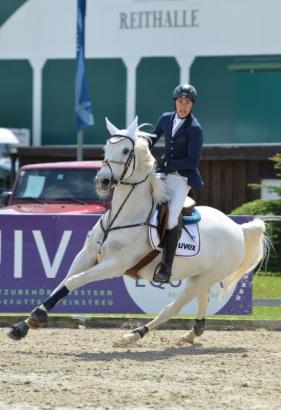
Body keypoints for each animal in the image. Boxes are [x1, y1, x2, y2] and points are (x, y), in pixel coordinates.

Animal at [8, 117, 266, 346]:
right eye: (105, 148)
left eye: (125, 151)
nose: (102, 181)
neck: (122, 215)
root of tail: (237, 227)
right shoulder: (87, 255)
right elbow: (63, 282)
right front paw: (24, 325)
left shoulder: (115, 265)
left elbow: (73, 281)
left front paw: (35, 318)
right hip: (200, 276)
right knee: (202, 299)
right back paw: (192, 333)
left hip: (204, 277)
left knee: (171, 308)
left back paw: (133, 335)